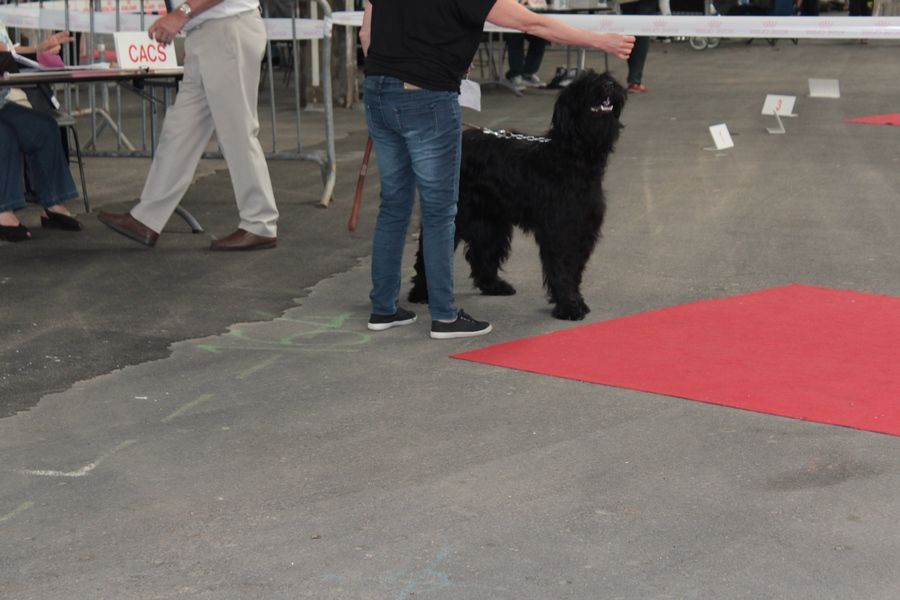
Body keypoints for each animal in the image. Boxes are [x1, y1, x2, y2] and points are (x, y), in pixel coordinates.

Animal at [410, 70, 624, 322]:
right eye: (584, 84)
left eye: (604, 77)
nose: (609, 84)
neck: (572, 156)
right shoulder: (559, 231)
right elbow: (562, 267)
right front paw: (569, 306)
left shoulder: (583, 230)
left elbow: (574, 269)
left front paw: (575, 301)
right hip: (457, 214)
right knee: (428, 252)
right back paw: (420, 293)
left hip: (490, 220)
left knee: (482, 252)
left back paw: (493, 286)